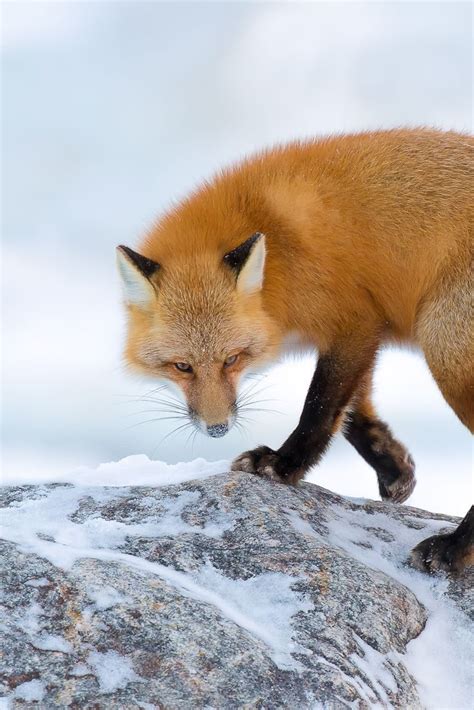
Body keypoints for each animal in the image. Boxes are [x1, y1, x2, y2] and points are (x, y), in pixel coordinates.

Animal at [117, 128, 473, 575]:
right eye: (182, 366)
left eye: (232, 359)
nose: (217, 428)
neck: (279, 248)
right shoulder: (363, 330)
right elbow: (352, 413)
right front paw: (394, 468)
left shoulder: (353, 322)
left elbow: (320, 406)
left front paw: (284, 465)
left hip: (445, 347)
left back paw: (455, 546)